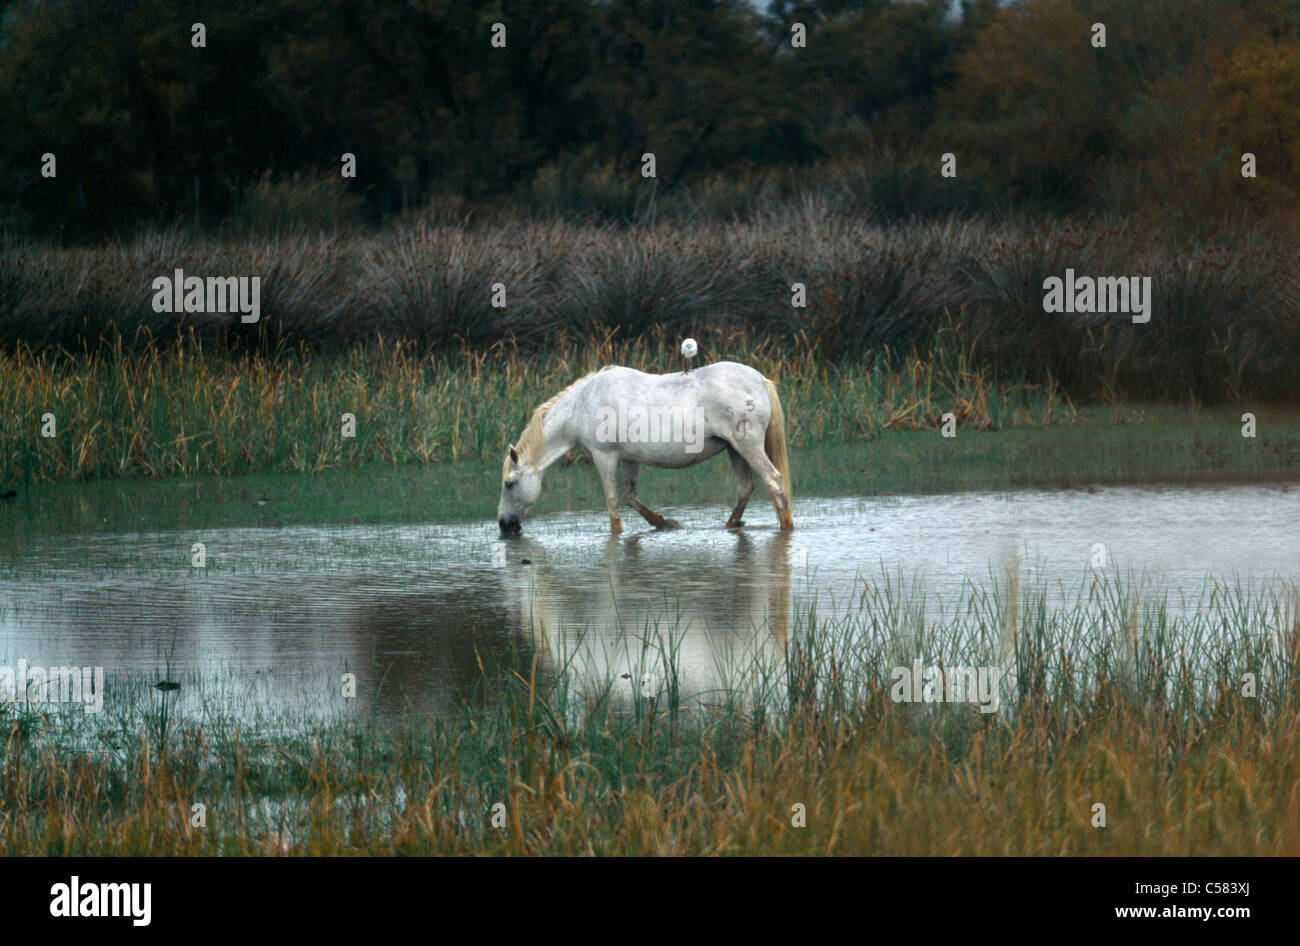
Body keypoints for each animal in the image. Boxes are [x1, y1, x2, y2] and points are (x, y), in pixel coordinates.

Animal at [496, 361, 790, 535]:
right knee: (745, 489)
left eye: (509, 483)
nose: (503, 524)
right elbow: (630, 496)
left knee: (774, 482)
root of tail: (758, 379)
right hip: (734, 449)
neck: (583, 404)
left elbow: (613, 502)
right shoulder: (629, 459)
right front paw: (665, 523)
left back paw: (786, 526)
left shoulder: (604, 457)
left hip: (747, 446)